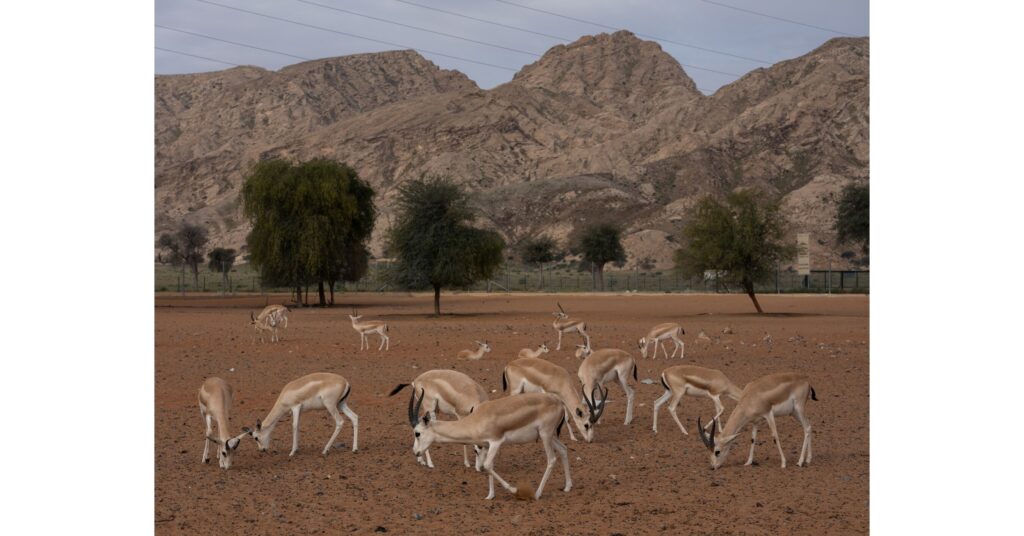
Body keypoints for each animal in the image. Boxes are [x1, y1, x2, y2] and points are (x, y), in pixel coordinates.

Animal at [408, 389, 572, 500]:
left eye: (417, 433)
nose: (415, 452)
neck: (475, 420)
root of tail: (559, 402)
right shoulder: (487, 445)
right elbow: (488, 467)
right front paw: (490, 495)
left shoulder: (496, 442)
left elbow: (486, 465)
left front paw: (514, 490)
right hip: (550, 437)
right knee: (564, 450)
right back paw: (567, 487)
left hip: (545, 435)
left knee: (551, 459)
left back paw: (537, 494)